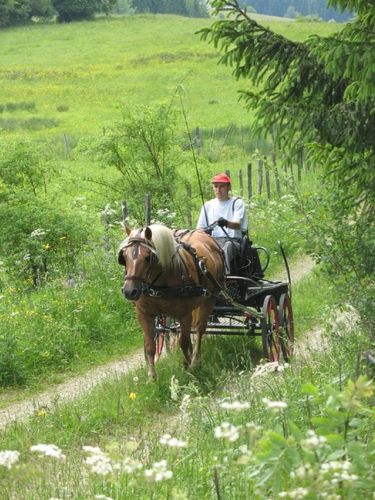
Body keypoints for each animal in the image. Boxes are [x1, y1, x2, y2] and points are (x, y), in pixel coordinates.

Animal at [118, 225, 223, 376]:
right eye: (124, 256)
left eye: (148, 257)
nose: (129, 291)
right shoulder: (144, 314)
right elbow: (150, 346)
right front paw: (152, 376)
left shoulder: (184, 314)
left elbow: (183, 342)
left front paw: (188, 367)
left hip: (210, 299)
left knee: (199, 330)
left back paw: (195, 360)